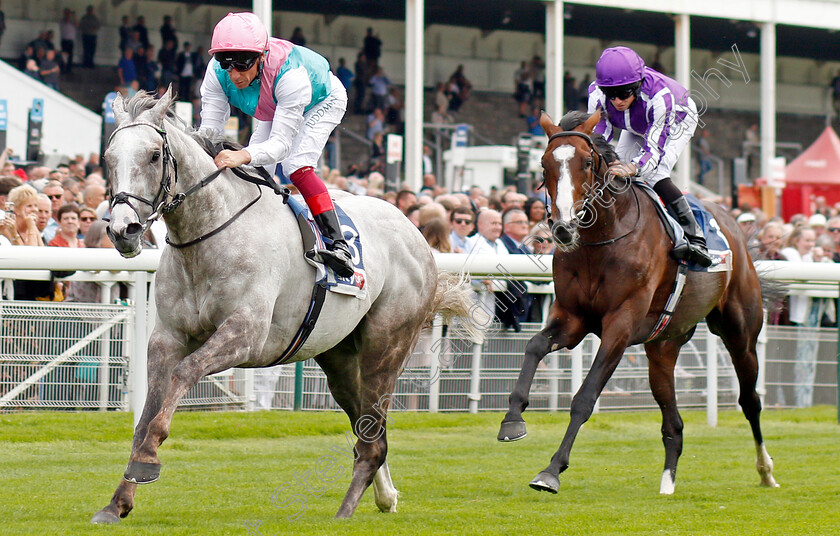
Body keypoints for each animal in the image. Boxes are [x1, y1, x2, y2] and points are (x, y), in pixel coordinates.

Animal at [92, 90, 480, 520]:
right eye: (108, 157)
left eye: (153, 155)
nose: (123, 230)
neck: (208, 237)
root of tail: (415, 232)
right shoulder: (167, 337)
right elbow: (148, 413)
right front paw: (118, 500)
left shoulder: (245, 334)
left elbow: (182, 375)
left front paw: (147, 463)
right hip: (338, 354)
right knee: (368, 429)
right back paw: (385, 495)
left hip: (388, 343)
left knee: (372, 436)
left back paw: (344, 513)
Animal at [498, 111, 780, 496]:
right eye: (543, 164)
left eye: (587, 163)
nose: (563, 228)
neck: (601, 242)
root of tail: (733, 224)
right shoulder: (571, 318)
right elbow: (534, 346)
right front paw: (512, 420)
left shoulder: (620, 325)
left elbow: (585, 398)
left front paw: (551, 471)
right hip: (663, 346)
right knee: (673, 423)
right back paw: (667, 483)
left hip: (740, 331)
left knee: (750, 401)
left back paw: (766, 471)